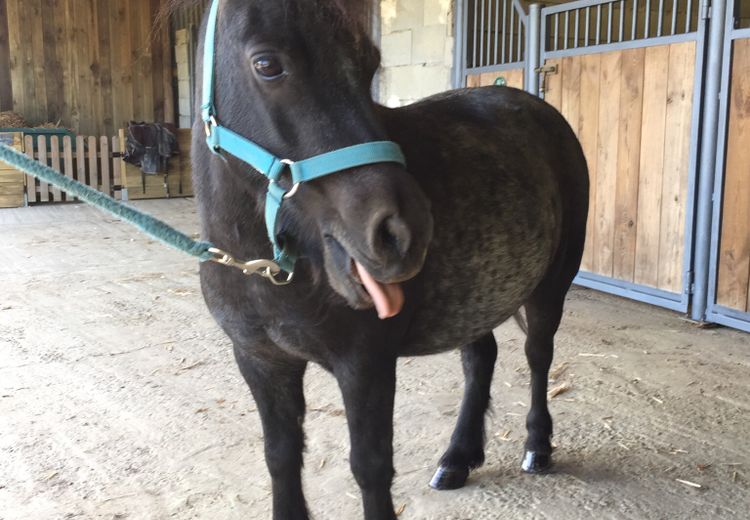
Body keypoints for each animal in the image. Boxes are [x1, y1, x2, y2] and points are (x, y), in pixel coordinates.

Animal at [185, 1, 592, 520]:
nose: (404, 232)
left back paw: (537, 447)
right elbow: (280, 457)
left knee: (538, 356)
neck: (268, 270)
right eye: (267, 64)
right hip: (475, 296)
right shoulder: (260, 360)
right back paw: (457, 459)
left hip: (549, 289)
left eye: (370, 65)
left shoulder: (366, 364)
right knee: (480, 359)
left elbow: (371, 466)